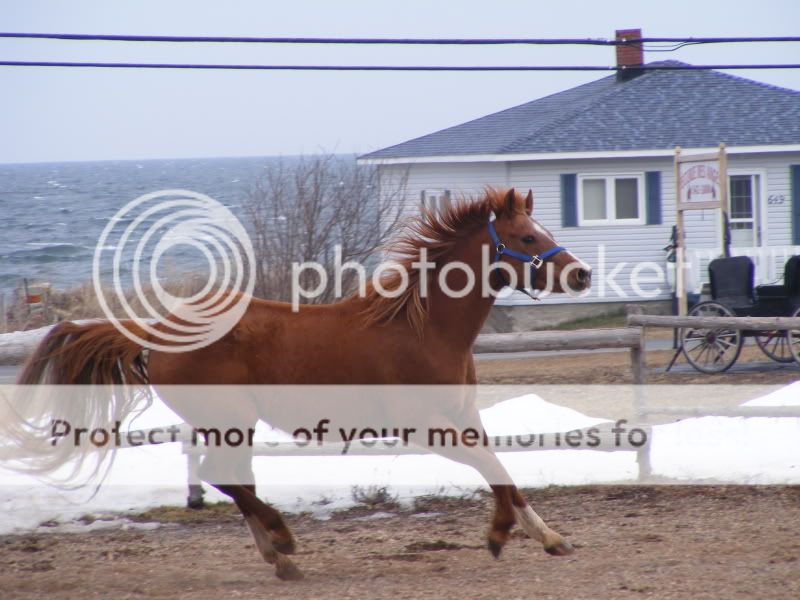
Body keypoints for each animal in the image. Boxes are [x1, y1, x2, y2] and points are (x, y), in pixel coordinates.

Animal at [17, 189, 592, 580]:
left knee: (236, 480)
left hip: (232, 425)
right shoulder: (425, 426)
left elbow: (503, 473)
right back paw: (284, 541)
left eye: (540, 231)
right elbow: (491, 469)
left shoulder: (462, 416)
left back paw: (279, 555)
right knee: (227, 479)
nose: (583, 273)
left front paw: (551, 538)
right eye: (527, 237)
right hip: (227, 420)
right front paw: (500, 536)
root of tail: (159, 332)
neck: (423, 327)